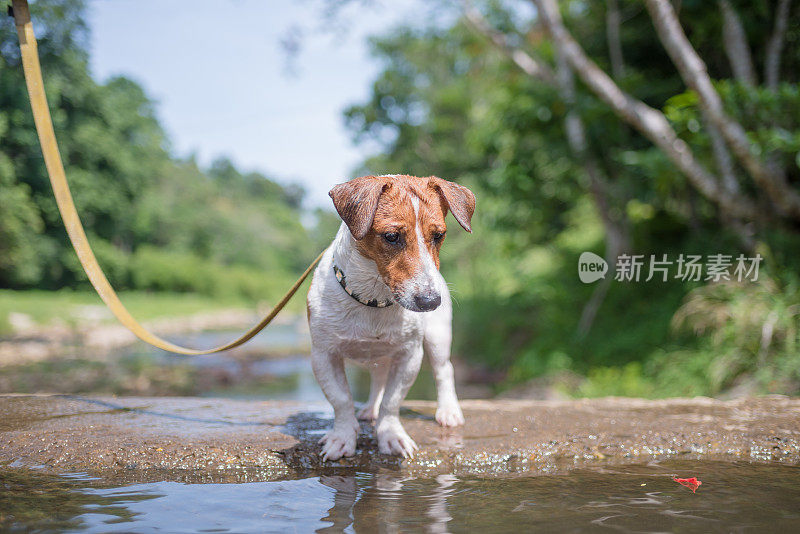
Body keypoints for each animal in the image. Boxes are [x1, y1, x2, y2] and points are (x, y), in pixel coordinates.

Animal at [306, 175, 476, 460]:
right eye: (392, 236)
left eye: (439, 235)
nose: (431, 301)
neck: (373, 300)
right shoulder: (323, 355)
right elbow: (341, 400)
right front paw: (343, 437)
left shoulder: (409, 355)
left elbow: (392, 401)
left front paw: (391, 435)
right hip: (379, 355)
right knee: (378, 380)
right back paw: (369, 409)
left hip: (437, 337)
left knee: (444, 370)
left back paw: (448, 411)